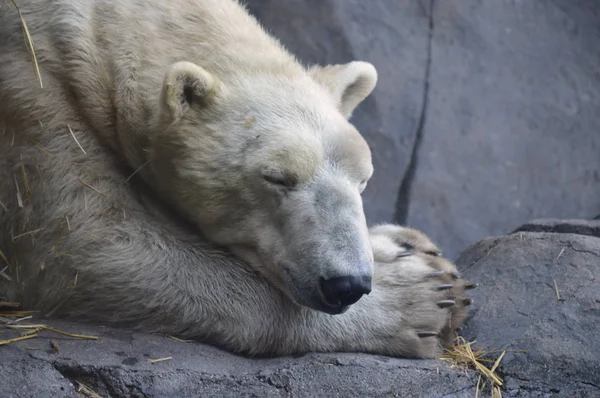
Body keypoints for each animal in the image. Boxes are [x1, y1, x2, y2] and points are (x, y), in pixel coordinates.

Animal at [0, 0, 474, 358]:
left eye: (363, 181)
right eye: (277, 178)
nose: (348, 284)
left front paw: (409, 249)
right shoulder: (34, 88)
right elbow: (86, 247)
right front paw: (422, 300)